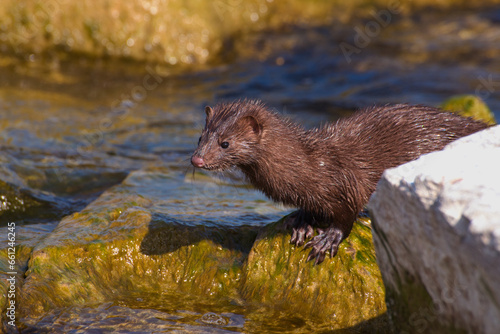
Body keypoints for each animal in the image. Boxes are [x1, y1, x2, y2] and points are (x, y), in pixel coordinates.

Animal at [190, 99, 488, 264]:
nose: (197, 160)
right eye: (201, 137)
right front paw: (301, 222)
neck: (310, 165)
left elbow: (348, 214)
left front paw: (327, 239)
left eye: (225, 143)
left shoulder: (346, 182)